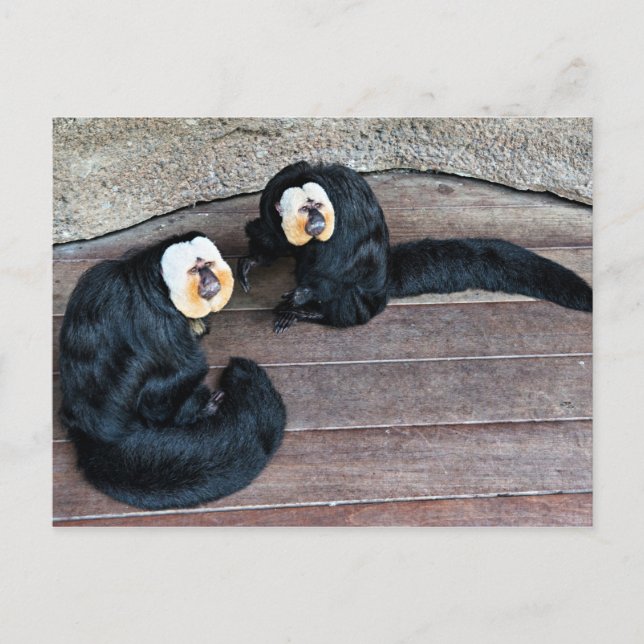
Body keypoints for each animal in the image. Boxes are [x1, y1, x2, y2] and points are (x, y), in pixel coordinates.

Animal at [58, 231, 285, 510]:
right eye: (195, 270)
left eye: (208, 265)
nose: (210, 280)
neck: (158, 285)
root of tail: (92, 435)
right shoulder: (158, 318)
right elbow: (188, 368)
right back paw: (197, 409)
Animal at [237, 161, 592, 332]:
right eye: (303, 209)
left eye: (316, 205)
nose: (315, 220)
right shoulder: (273, 209)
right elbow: (276, 237)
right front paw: (253, 260)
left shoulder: (347, 209)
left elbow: (348, 266)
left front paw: (305, 296)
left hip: (367, 302)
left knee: (349, 291)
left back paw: (316, 313)